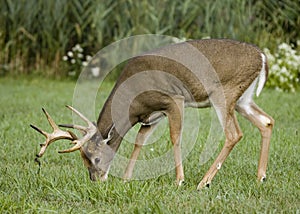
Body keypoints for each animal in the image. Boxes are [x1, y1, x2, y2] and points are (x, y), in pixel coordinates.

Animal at [31, 38, 274, 189]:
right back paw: (260, 177)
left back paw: (203, 182)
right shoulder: (151, 117)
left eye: (96, 157)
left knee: (234, 134)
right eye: (83, 160)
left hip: (225, 92)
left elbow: (175, 138)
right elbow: (139, 141)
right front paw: (126, 179)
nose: (96, 181)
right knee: (267, 121)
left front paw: (179, 180)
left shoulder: (173, 99)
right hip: (243, 99)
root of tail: (263, 57)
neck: (132, 101)